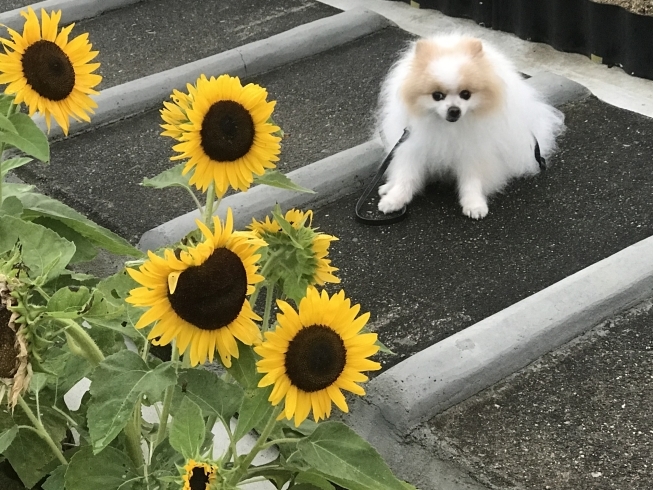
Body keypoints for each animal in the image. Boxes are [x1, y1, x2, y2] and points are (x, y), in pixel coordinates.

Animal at [376, 34, 564, 218]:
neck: (448, 127)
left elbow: (472, 180)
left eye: (466, 94)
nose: (454, 110)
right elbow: (405, 175)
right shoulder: (413, 145)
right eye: (437, 96)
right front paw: (394, 199)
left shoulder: (473, 151)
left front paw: (474, 204)